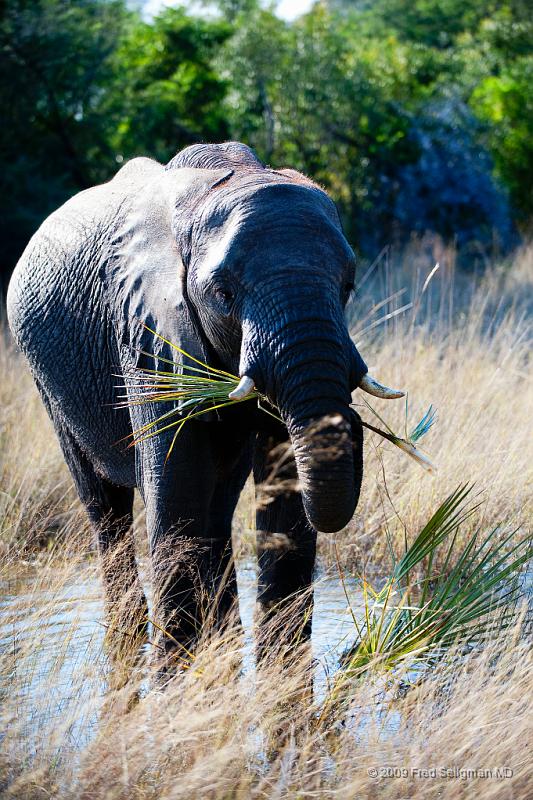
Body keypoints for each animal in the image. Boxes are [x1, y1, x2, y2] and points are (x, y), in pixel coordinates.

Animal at [7, 142, 400, 664]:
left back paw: (223, 640)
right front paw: (173, 675)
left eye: (347, 287)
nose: (357, 424)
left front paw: (281, 675)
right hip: (44, 376)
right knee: (104, 503)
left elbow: (282, 486)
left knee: (216, 507)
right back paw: (132, 642)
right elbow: (178, 490)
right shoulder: (147, 333)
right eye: (224, 294)